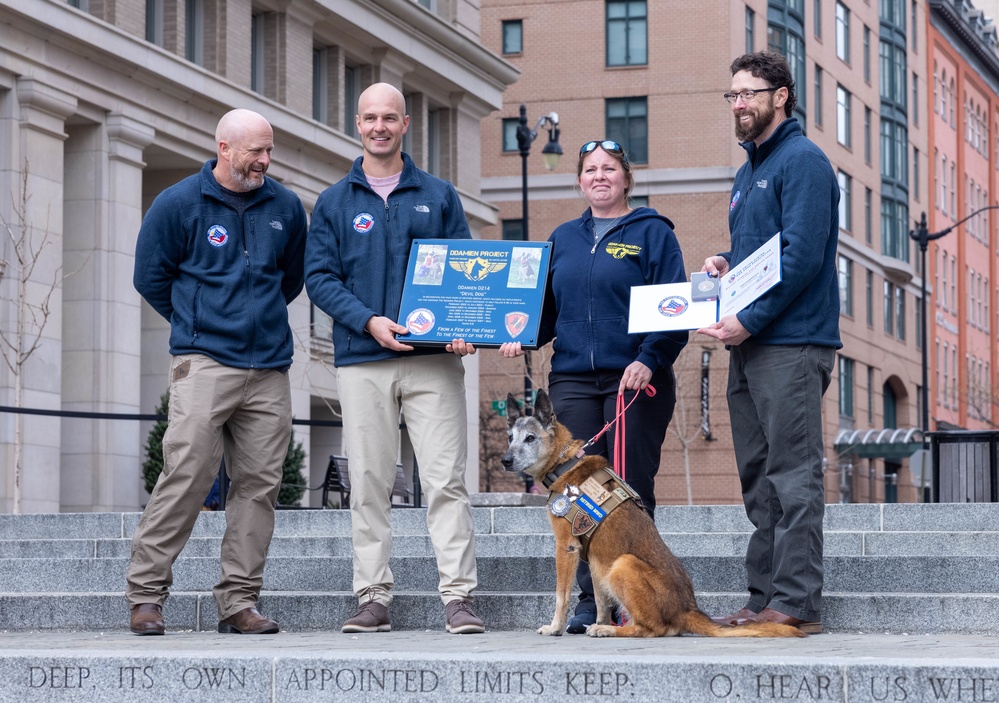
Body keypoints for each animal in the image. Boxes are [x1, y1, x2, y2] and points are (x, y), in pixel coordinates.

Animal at [500, 390, 804, 640]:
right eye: (510, 438)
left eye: (530, 438)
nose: (505, 461)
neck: (565, 464)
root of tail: (687, 610)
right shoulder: (595, 561)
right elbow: (600, 601)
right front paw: (595, 621)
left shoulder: (566, 548)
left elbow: (561, 596)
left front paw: (555, 627)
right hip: (610, 567)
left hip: (622, 564)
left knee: (653, 629)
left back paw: (612, 630)